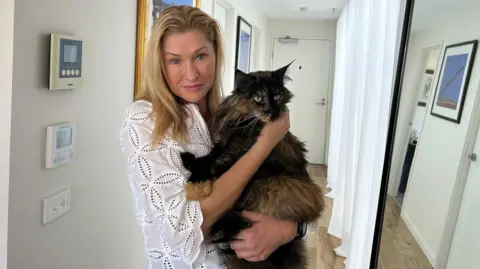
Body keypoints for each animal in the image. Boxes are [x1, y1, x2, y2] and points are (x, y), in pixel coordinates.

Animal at [182, 62, 324, 268]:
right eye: (258, 98)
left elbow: (216, 166)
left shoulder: (236, 153)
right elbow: (209, 157)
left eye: (277, 96)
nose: (273, 112)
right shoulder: (224, 143)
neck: (244, 122)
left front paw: (196, 183)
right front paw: (189, 163)